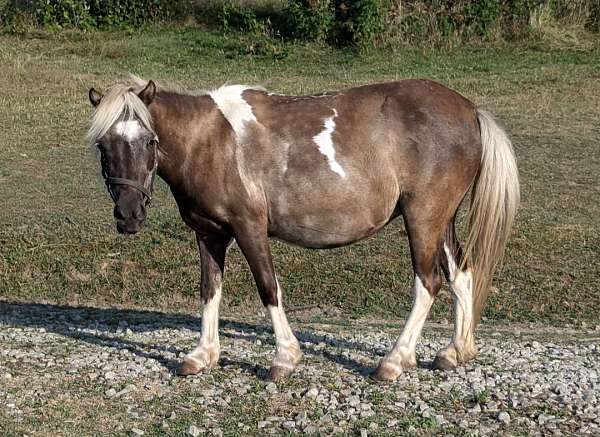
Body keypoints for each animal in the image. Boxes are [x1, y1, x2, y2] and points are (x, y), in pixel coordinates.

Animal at [85, 78, 520, 382]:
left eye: (149, 141)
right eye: (104, 146)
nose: (128, 214)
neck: (209, 141)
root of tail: (470, 110)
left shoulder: (249, 228)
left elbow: (268, 288)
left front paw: (284, 358)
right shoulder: (209, 234)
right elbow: (210, 291)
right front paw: (202, 355)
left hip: (423, 218)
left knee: (428, 283)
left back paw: (394, 362)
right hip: (441, 220)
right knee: (461, 275)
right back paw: (456, 351)